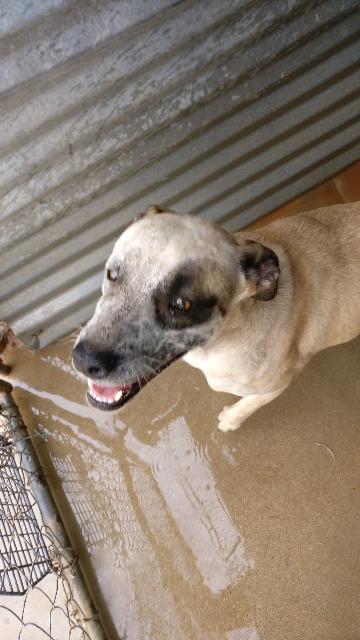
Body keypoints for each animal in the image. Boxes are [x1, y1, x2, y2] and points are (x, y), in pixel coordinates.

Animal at [72, 202, 360, 432]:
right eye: (112, 273)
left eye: (181, 305)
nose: (83, 361)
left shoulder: (277, 383)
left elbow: (249, 403)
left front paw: (230, 420)